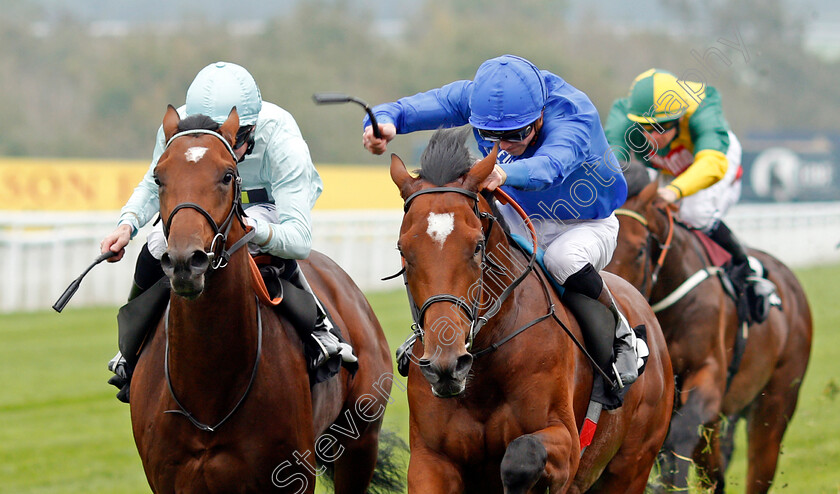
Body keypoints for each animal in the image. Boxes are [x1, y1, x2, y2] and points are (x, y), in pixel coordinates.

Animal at [128, 106, 398, 492]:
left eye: (227, 175)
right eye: (158, 177)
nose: (185, 261)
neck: (208, 391)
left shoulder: (291, 475)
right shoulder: (168, 478)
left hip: (361, 440)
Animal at [392, 128, 676, 494]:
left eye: (477, 246)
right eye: (403, 249)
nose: (446, 364)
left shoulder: (567, 444)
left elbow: (522, 455)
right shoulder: (430, 460)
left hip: (632, 465)